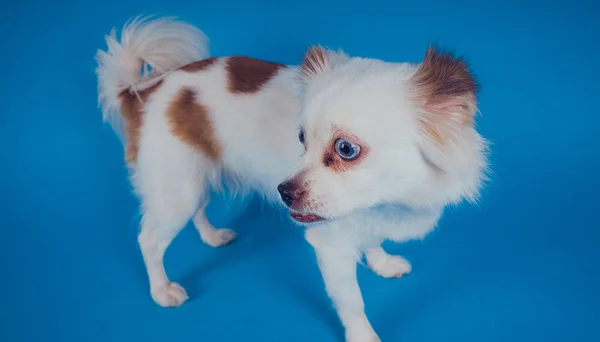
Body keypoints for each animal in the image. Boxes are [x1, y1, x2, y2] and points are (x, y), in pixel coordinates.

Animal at [94, 15, 488, 342]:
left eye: (346, 149)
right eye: (301, 139)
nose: (283, 192)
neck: (385, 202)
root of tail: (144, 91)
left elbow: (372, 239)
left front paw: (382, 261)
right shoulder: (331, 247)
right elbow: (352, 302)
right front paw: (363, 335)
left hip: (195, 178)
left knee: (198, 210)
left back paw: (211, 236)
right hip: (177, 188)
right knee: (149, 239)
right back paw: (161, 290)